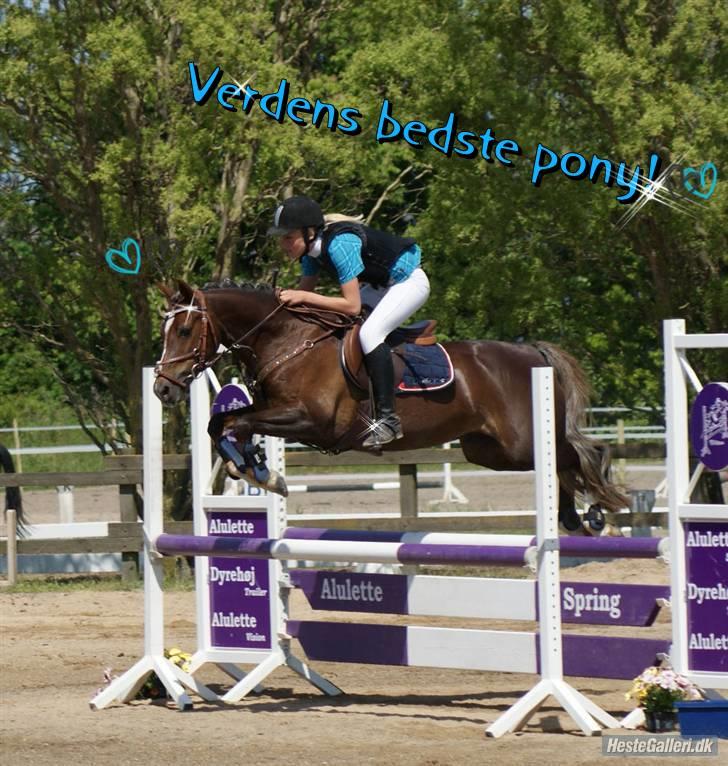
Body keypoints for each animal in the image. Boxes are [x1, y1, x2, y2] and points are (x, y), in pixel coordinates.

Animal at [152, 280, 624, 536]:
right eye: (166, 331)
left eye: (185, 330)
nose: (161, 389)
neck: (288, 342)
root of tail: (532, 354)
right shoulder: (276, 411)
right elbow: (222, 423)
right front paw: (257, 471)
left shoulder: (311, 421)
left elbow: (235, 420)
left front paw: (260, 473)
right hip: (489, 450)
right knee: (562, 461)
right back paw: (572, 516)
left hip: (520, 442)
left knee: (583, 453)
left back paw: (598, 512)